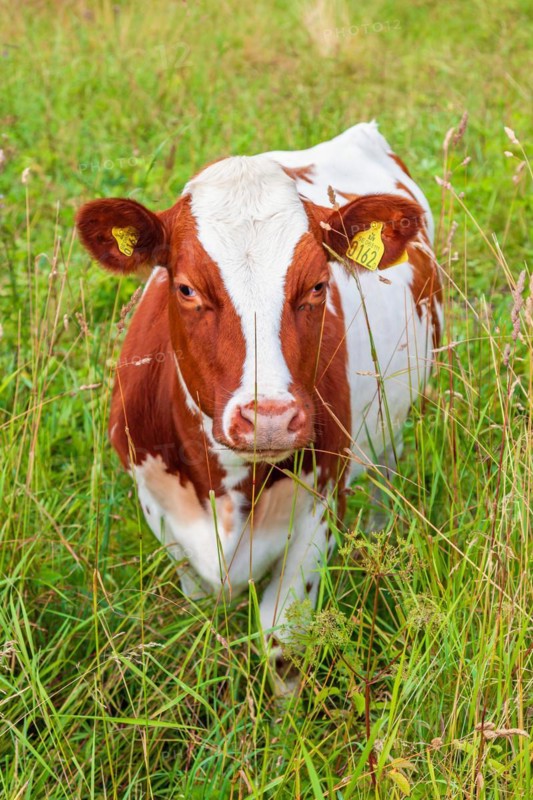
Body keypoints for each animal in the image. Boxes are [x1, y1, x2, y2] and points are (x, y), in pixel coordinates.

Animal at [76, 122, 442, 653]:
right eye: (186, 288)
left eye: (317, 285)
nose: (269, 417)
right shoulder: (160, 509)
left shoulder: (318, 512)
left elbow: (280, 638)